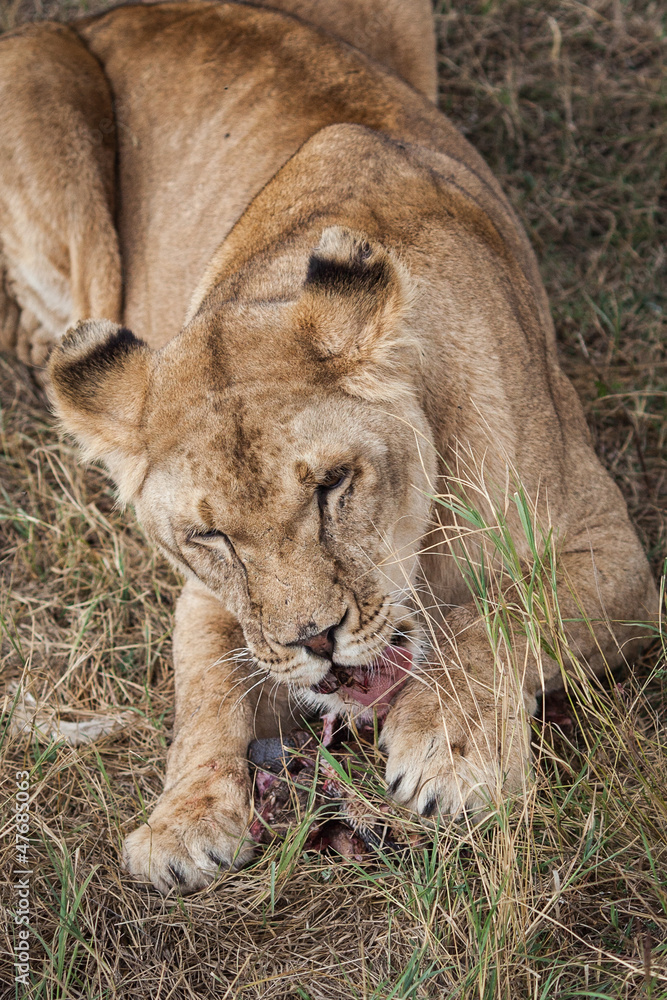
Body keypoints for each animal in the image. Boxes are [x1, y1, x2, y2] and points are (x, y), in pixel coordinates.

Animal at [0, 0, 658, 895]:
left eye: (332, 485)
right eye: (208, 535)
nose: (314, 640)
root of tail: (109, 14)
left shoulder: (614, 552)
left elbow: (498, 615)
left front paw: (449, 751)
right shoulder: (207, 600)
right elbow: (205, 691)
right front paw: (180, 823)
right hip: (35, 70)